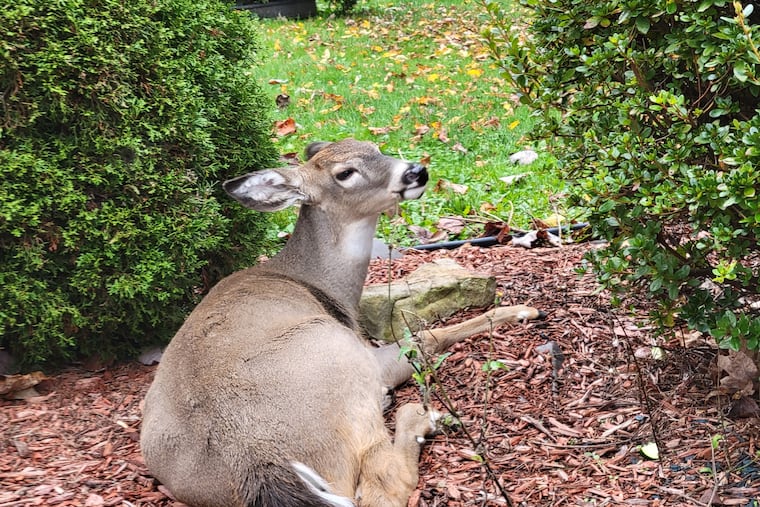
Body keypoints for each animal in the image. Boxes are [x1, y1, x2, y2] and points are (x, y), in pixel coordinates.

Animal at [140, 139, 542, 507]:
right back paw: (417, 415)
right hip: (344, 366)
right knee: (382, 484)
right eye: (345, 173)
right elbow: (426, 335)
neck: (315, 280)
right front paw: (521, 310)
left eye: (376, 148)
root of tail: (258, 463)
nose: (417, 171)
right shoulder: (371, 355)